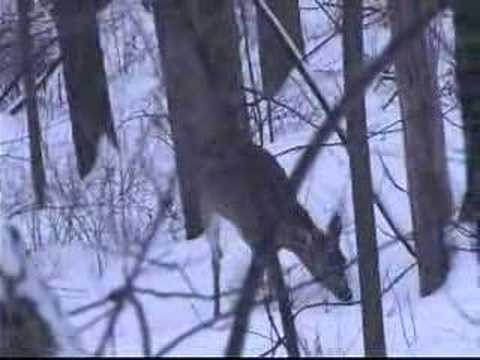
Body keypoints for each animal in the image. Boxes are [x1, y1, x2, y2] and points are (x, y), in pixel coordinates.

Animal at [197, 142, 354, 302]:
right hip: (207, 206)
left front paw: (268, 295)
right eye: (325, 267)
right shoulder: (253, 237)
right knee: (214, 252)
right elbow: (272, 278)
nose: (347, 294)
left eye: (344, 260)